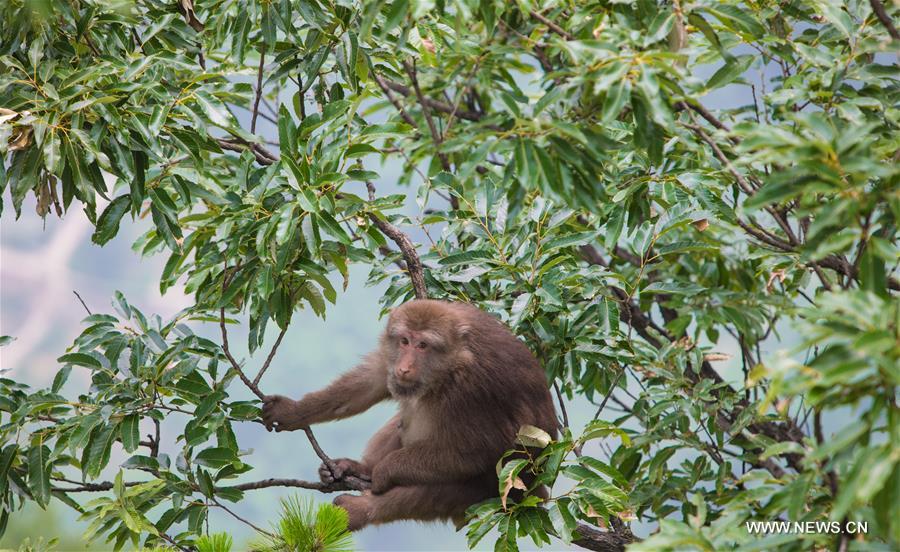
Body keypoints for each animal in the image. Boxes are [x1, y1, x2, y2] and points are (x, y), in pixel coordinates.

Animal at [258, 300, 556, 532]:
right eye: (404, 341)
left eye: (423, 345)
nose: (403, 368)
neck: (453, 362)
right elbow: (371, 382)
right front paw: (293, 410)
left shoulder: (471, 389)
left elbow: (475, 450)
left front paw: (382, 472)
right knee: (405, 416)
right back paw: (360, 468)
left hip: (505, 492)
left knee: (446, 483)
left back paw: (361, 508)